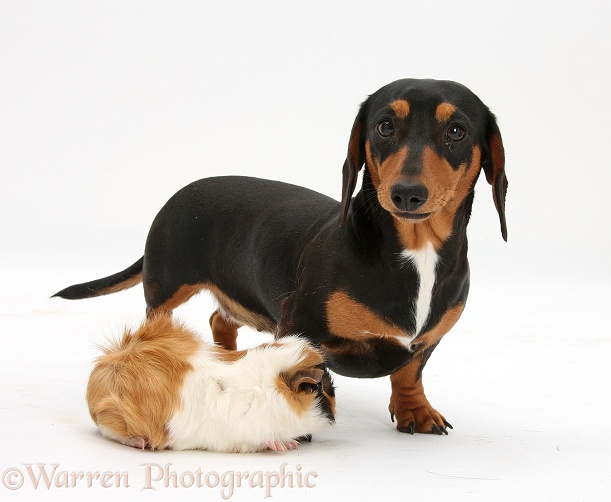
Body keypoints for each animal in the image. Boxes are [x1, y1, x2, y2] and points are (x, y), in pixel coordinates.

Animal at [56, 78, 506, 436]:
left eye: (456, 131)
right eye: (384, 126)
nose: (406, 194)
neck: (416, 250)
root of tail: (179, 194)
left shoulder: (427, 340)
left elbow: (410, 370)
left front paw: (416, 410)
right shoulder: (297, 322)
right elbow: (311, 367)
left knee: (220, 319)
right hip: (166, 287)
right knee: (161, 321)